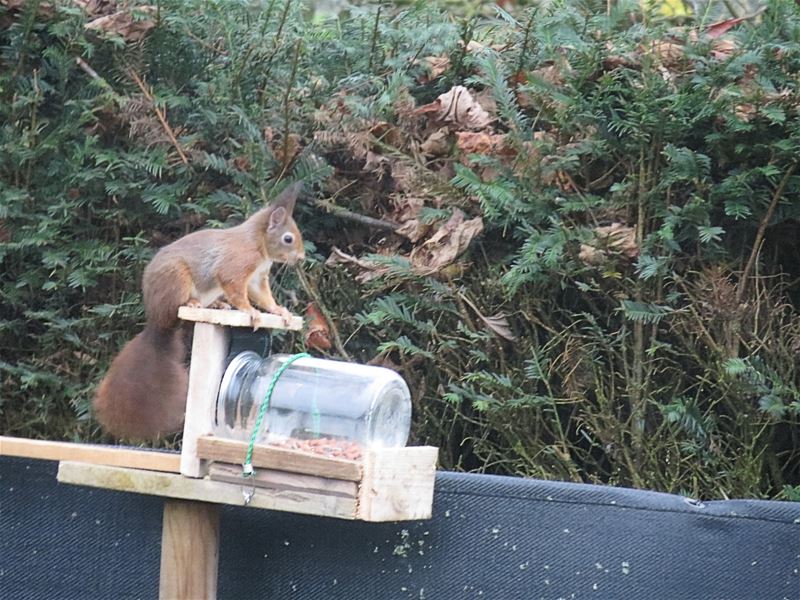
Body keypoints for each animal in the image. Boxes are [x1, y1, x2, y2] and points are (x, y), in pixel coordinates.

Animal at [94, 183, 304, 440]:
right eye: (288, 238)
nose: (301, 257)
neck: (257, 243)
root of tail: (157, 319)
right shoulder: (235, 267)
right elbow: (237, 291)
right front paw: (250, 311)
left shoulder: (257, 279)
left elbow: (264, 297)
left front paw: (280, 311)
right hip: (177, 279)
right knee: (179, 304)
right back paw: (194, 304)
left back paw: (217, 306)